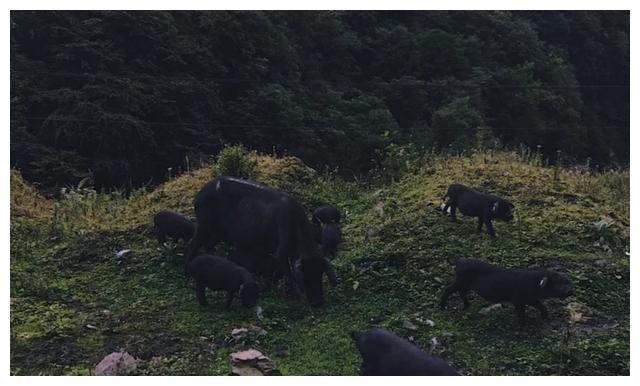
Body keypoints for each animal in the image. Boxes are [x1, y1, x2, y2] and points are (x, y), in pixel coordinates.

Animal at [440, 258, 576, 324]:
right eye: (558, 284)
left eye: (567, 281)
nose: (571, 291)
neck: (535, 284)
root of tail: (458, 261)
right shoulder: (518, 299)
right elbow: (521, 311)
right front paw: (523, 323)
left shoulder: (531, 298)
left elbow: (540, 305)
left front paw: (545, 317)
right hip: (461, 280)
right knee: (448, 290)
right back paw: (443, 308)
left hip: (467, 284)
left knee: (461, 292)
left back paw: (467, 305)